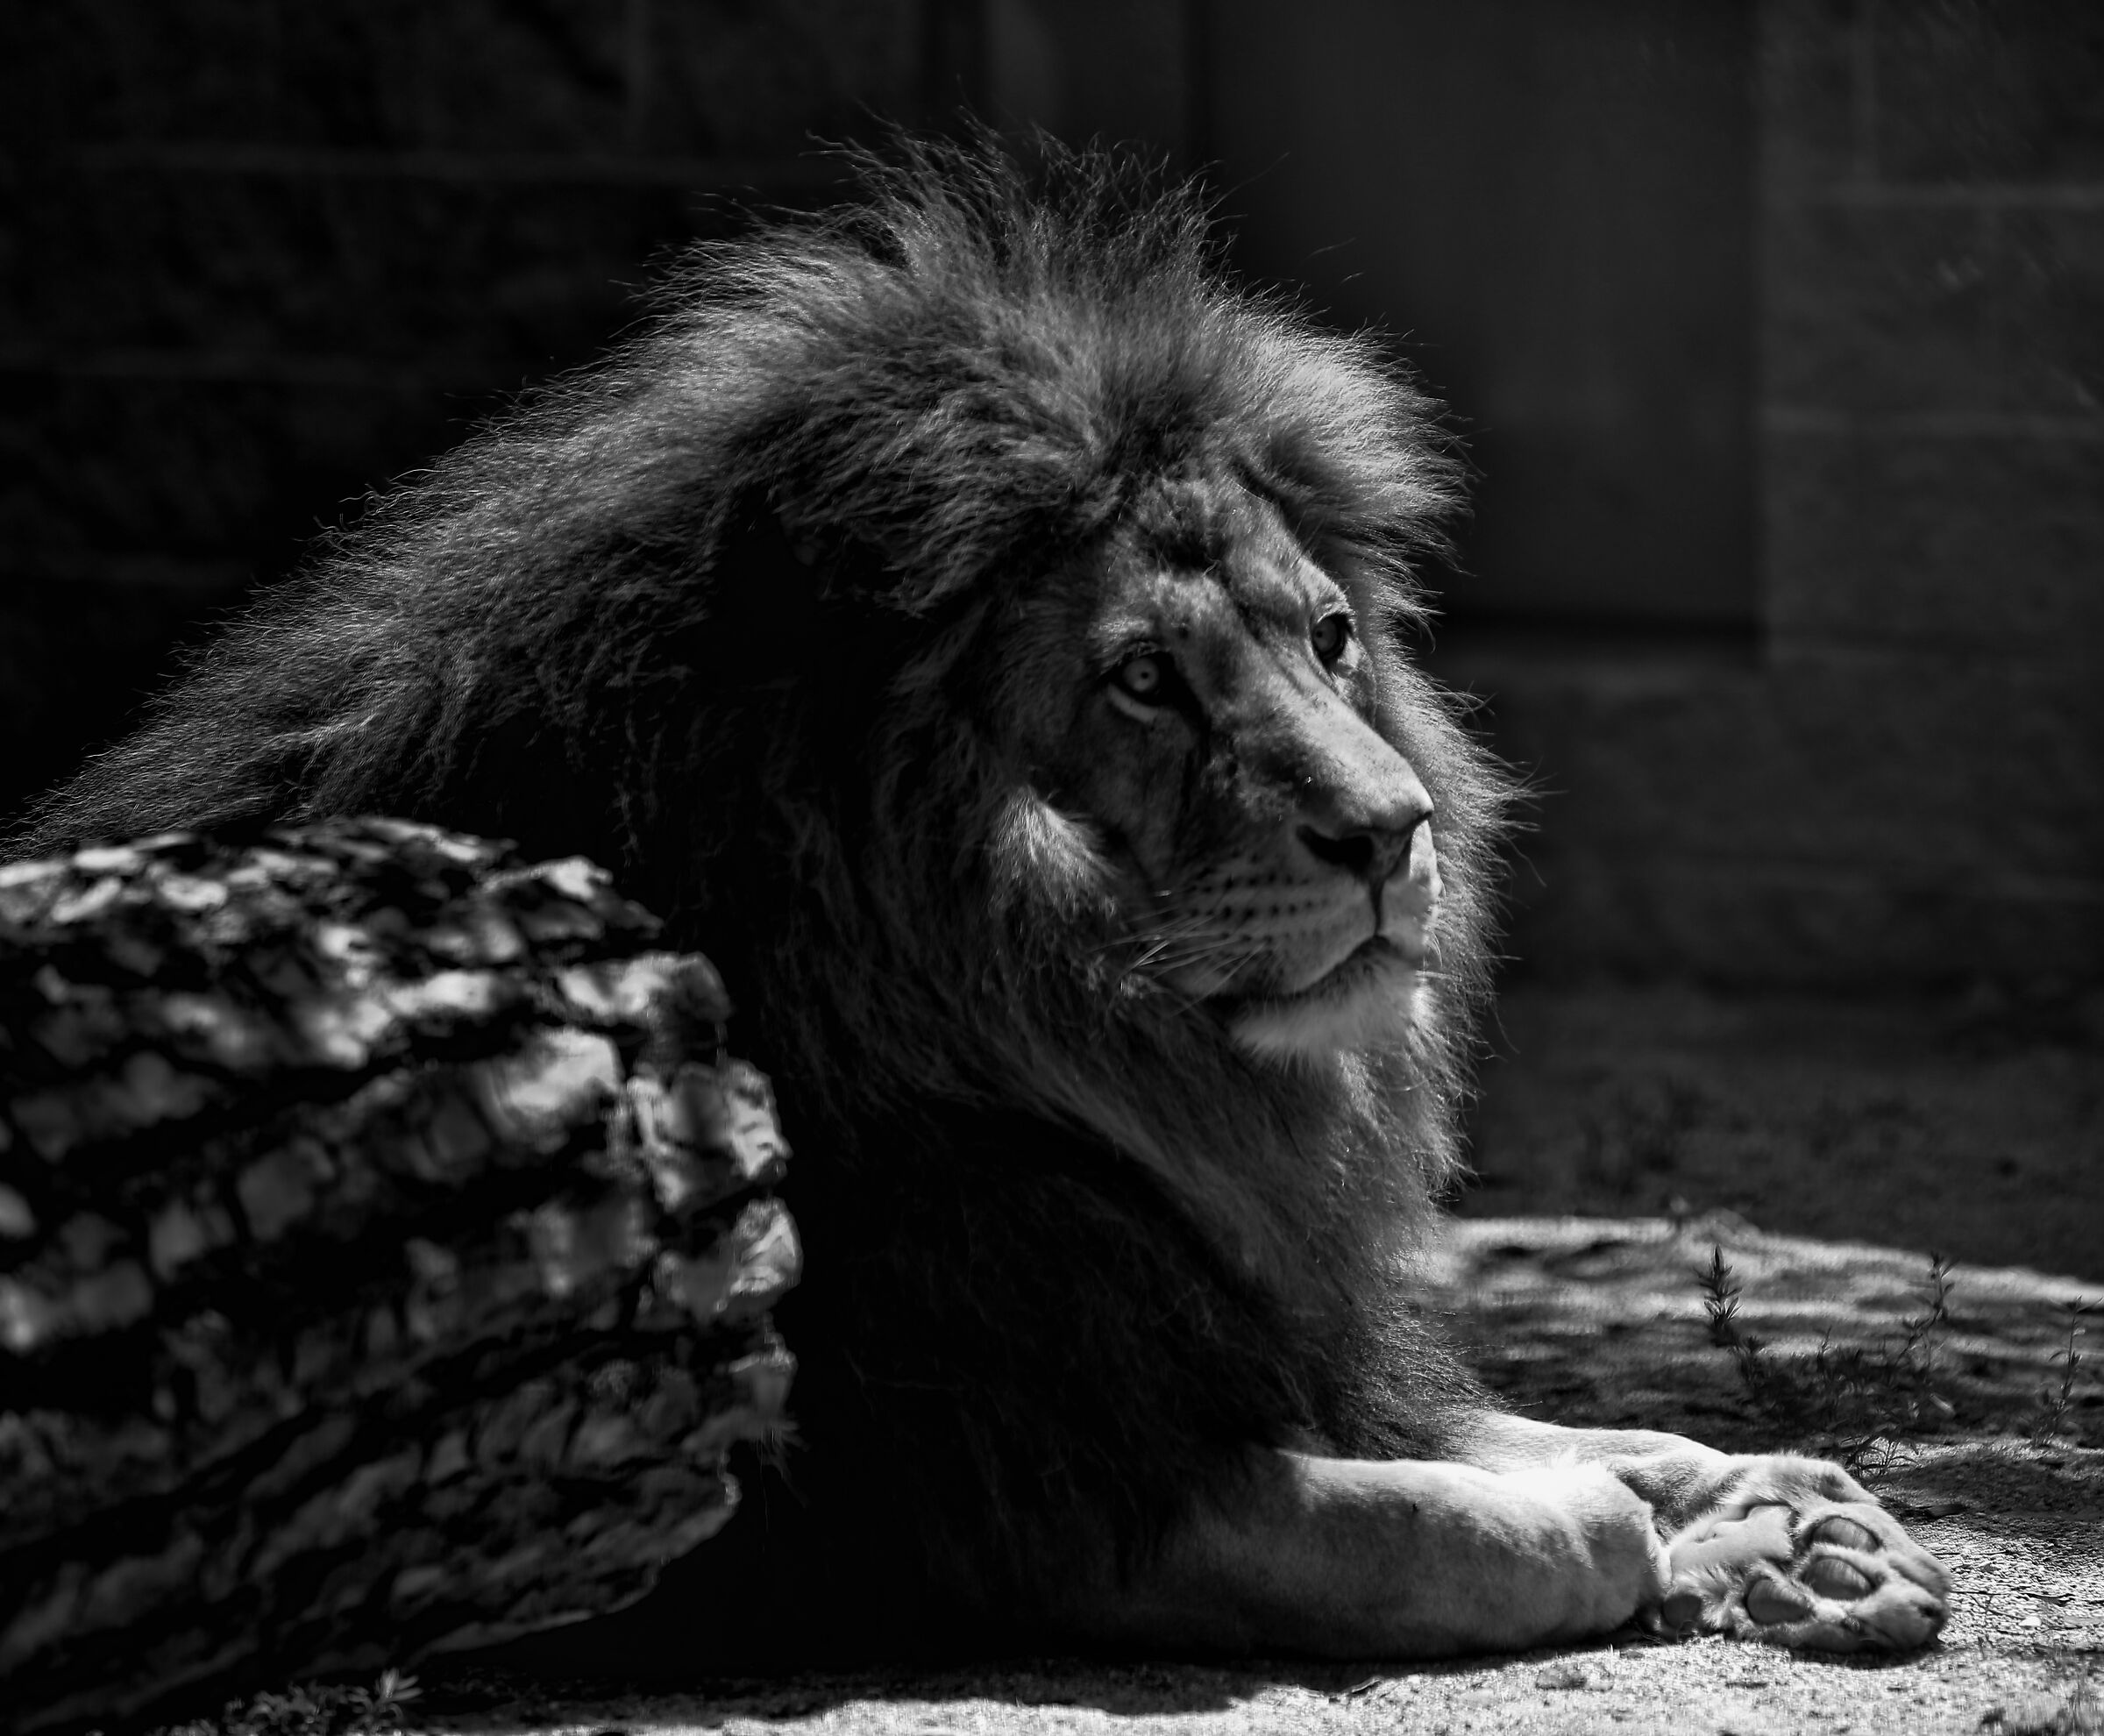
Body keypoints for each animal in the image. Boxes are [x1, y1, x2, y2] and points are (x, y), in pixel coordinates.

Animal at [15, 139, 1946, 1663]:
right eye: (1145, 682)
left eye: (1330, 638)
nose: (1397, 833)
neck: (1069, 1036)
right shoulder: (1026, 1489)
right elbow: (1502, 1523)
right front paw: (1696, 1547)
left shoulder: (1231, 1333)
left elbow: (1541, 1430)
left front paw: (1794, 1510)